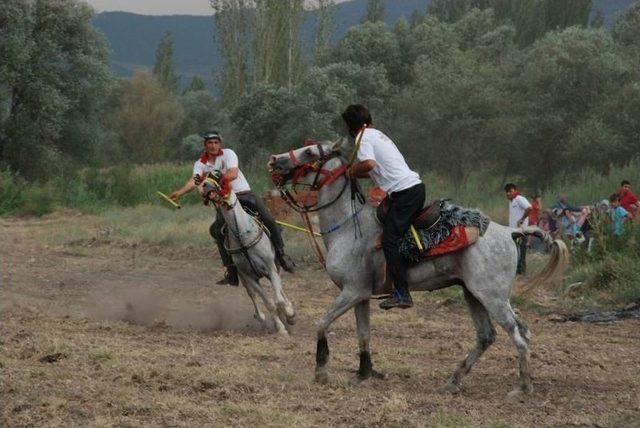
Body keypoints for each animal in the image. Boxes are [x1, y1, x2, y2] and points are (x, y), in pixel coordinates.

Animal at [201, 176, 296, 334]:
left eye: (219, 177)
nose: (205, 185)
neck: (242, 235)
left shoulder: (270, 268)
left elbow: (279, 300)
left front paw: (289, 314)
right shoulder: (249, 276)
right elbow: (269, 303)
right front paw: (280, 327)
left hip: (275, 268)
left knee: (280, 290)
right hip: (245, 279)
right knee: (253, 295)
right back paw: (262, 318)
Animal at [268, 141, 568, 398]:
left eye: (309, 152)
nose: (274, 160)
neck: (347, 226)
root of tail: (510, 231)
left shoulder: (351, 292)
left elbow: (321, 324)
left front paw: (321, 371)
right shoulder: (360, 295)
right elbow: (363, 335)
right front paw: (365, 373)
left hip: (492, 296)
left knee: (517, 335)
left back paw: (523, 387)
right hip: (473, 294)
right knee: (489, 336)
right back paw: (453, 381)